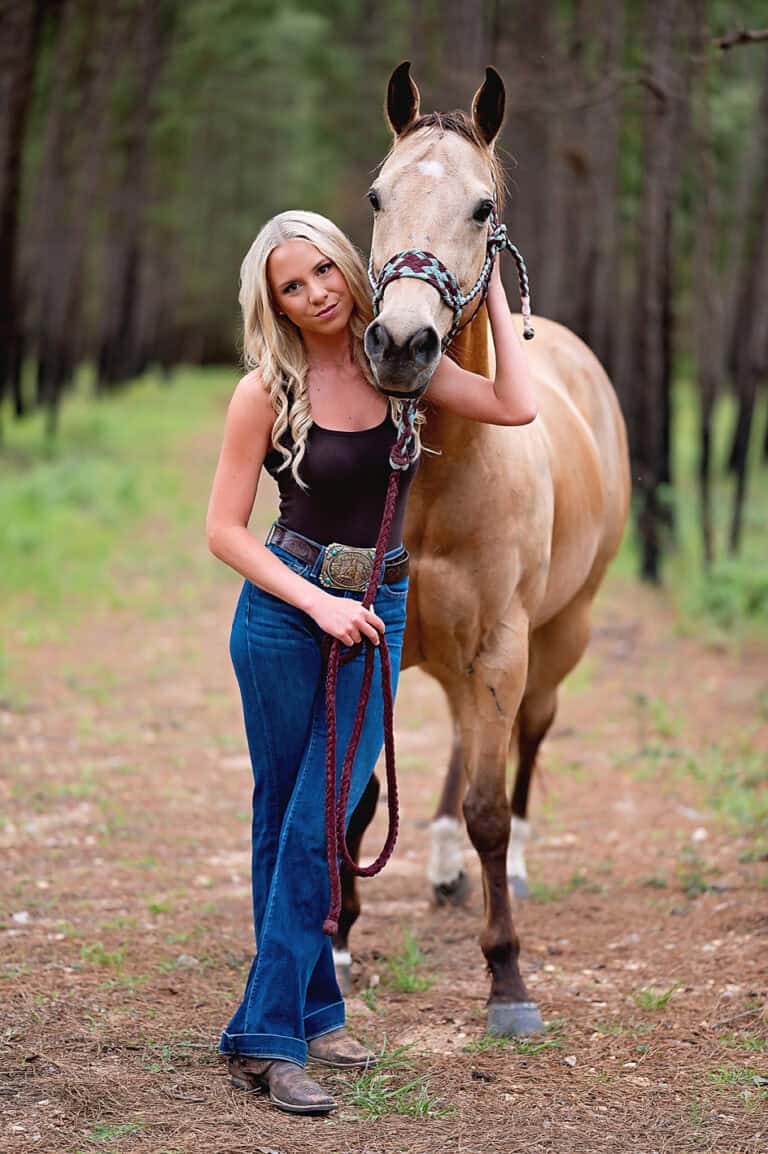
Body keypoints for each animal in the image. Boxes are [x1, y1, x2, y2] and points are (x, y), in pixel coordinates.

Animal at [334, 60, 627, 1038]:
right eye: (377, 195)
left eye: (481, 208)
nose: (400, 343)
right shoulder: (373, 639)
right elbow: (360, 798)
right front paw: (337, 940)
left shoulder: (503, 644)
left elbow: (492, 808)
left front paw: (506, 978)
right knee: (464, 741)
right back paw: (439, 866)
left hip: (558, 636)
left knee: (524, 741)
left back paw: (512, 873)